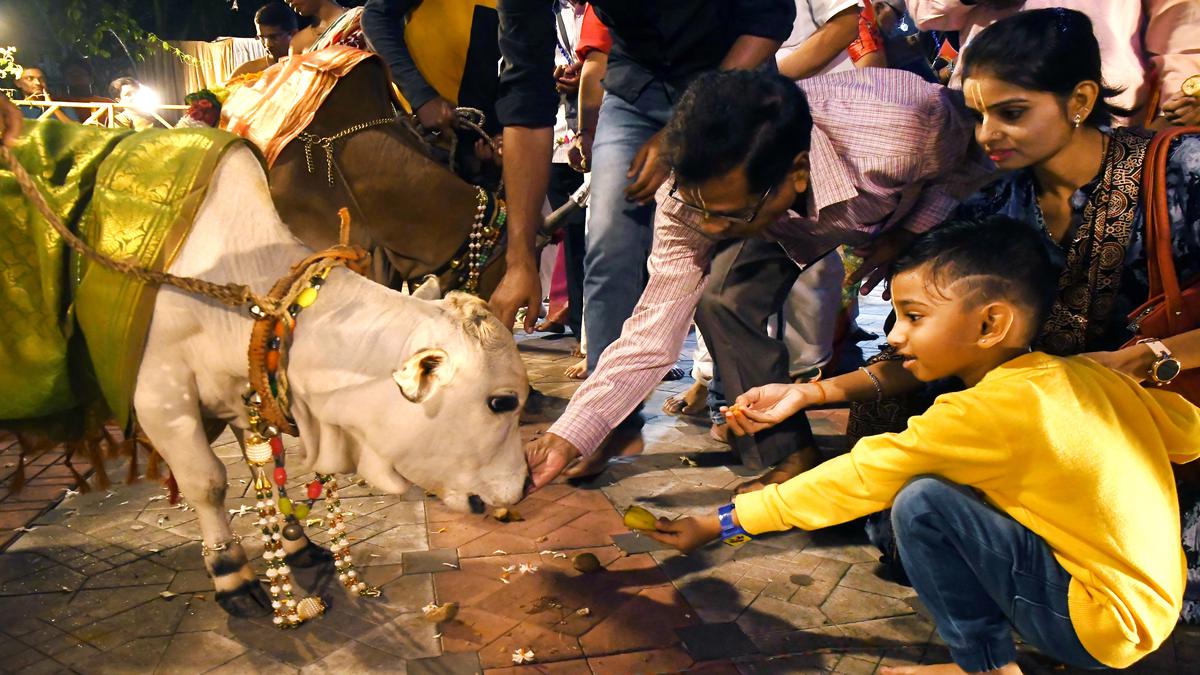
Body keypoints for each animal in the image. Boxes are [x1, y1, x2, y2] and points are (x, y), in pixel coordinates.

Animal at [131, 145, 525, 614]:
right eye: (502, 402)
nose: (527, 486)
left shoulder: (246, 395)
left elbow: (267, 468)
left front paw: (296, 544)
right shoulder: (160, 398)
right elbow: (207, 482)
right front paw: (231, 574)